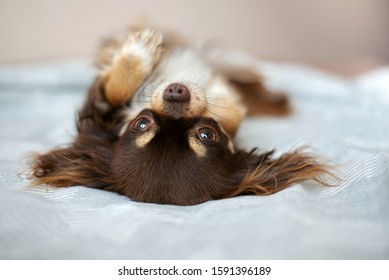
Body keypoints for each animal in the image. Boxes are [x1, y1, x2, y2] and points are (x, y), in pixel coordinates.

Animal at [28, 26, 332, 206]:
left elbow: (229, 110)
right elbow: (115, 91)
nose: (176, 91)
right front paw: (138, 55)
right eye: (142, 122)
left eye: (207, 134)